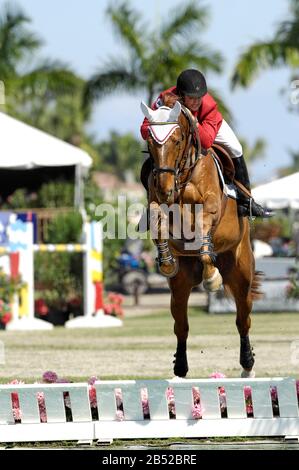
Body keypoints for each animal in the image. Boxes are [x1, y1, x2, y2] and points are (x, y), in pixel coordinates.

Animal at [142, 99, 262, 378]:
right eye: (151, 142)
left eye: (177, 141)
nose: (164, 188)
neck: (183, 174)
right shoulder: (158, 204)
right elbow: (157, 220)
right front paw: (166, 260)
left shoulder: (210, 208)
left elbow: (204, 234)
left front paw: (211, 278)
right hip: (180, 284)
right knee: (181, 326)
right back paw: (180, 367)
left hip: (241, 273)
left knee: (243, 320)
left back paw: (247, 366)